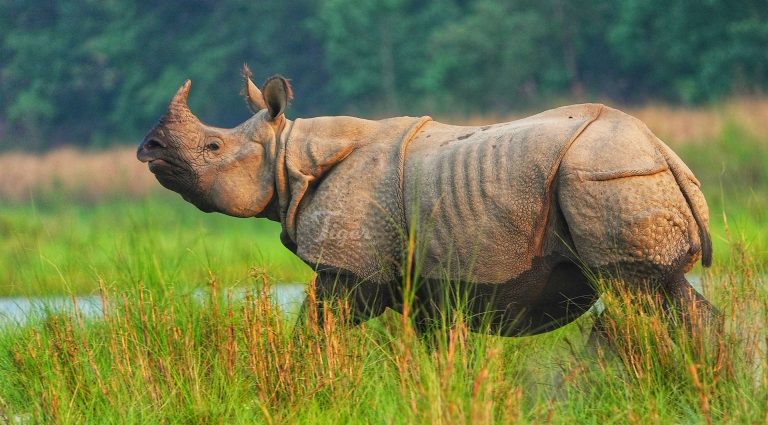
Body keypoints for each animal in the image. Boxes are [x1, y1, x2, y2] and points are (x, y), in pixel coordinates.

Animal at [137, 68, 714, 336]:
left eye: (212, 148)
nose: (150, 148)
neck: (288, 154)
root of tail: (663, 150)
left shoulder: (351, 267)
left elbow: (317, 328)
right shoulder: (426, 281)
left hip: (604, 175)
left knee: (634, 297)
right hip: (626, 174)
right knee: (666, 294)